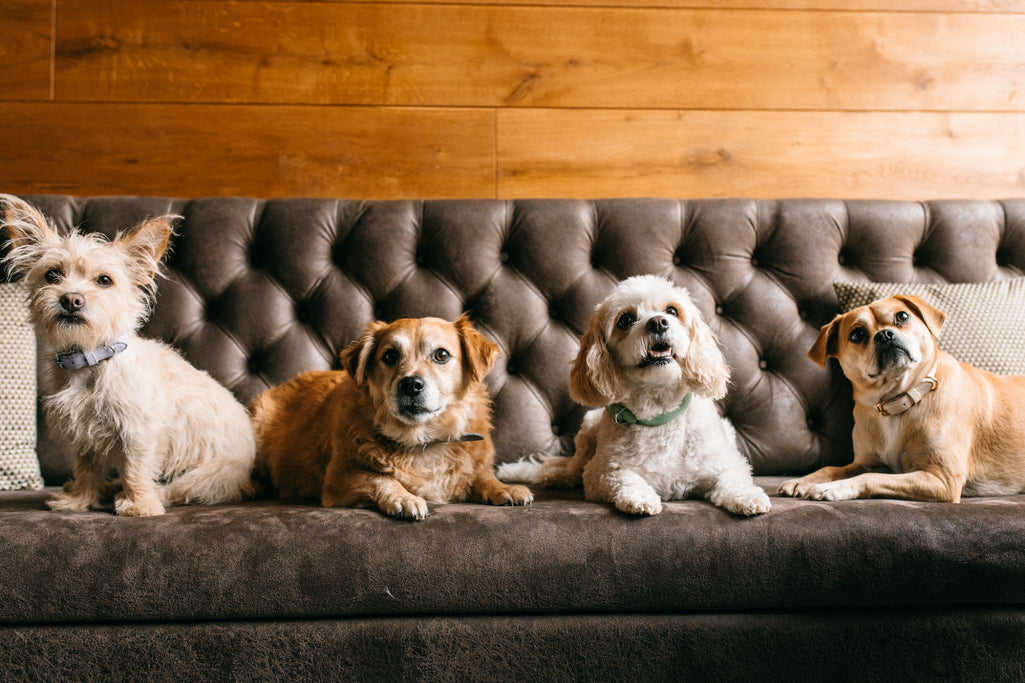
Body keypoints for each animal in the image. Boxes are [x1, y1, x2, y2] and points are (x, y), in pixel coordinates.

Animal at [1, 193, 256, 512]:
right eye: (52, 275)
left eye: (104, 280)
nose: (71, 300)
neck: (90, 357)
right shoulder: (83, 434)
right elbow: (86, 468)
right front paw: (79, 500)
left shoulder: (139, 432)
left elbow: (135, 467)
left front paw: (139, 505)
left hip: (206, 476)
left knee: (172, 489)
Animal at [251, 311, 533, 516]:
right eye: (390, 356)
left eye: (441, 355)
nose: (410, 384)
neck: (423, 440)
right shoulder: (338, 480)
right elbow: (380, 478)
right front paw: (405, 497)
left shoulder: (475, 469)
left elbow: (483, 476)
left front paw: (504, 488)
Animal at [500, 274, 770, 512]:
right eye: (626, 319)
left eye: (672, 311)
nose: (658, 322)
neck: (659, 412)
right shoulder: (601, 472)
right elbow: (623, 477)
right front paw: (640, 497)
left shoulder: (727, 463)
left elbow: (733, 479)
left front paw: (748, 498)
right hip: (588, 429)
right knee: (575, 467)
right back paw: (559, 477)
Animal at [774, 293, 1025, 500]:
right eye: (857, 334)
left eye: (902, 316)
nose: (885, 335)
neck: (898, 400)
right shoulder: (868, 463)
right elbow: (833, 468)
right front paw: (803, 480)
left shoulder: (942, 479)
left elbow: (870, 478)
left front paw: (833, 488)